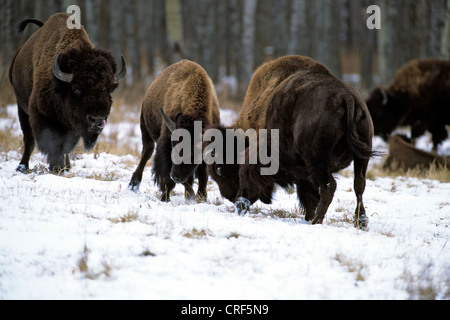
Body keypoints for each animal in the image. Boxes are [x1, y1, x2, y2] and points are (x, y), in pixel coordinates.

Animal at [9, 13, 128, 172]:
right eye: (77, 89)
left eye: (109, 90)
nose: (97, 120)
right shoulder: (43, 117)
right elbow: (52, 144)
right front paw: (56, 167)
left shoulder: (74, 126)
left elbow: (67, 146)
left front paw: (65, 167)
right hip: (21, 107)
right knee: (29, 139)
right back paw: (22, 166)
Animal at [127, 58, 221, 201]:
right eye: (174, 147)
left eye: (195, 154)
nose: (176, 176)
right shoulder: (165, 141)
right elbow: (166, 176)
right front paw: (165, 198)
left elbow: (203, 175)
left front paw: (201, 197)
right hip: (144, 127)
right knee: (147, 152)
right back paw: (133, 184)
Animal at [203, 56, 372, 229]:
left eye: (219, 168)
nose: (229, 196)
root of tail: (347, 96)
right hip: (361, 157)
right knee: (359, 185)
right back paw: (360, 222)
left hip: (316, 162)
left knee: (329, 186)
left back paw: (316, 221)